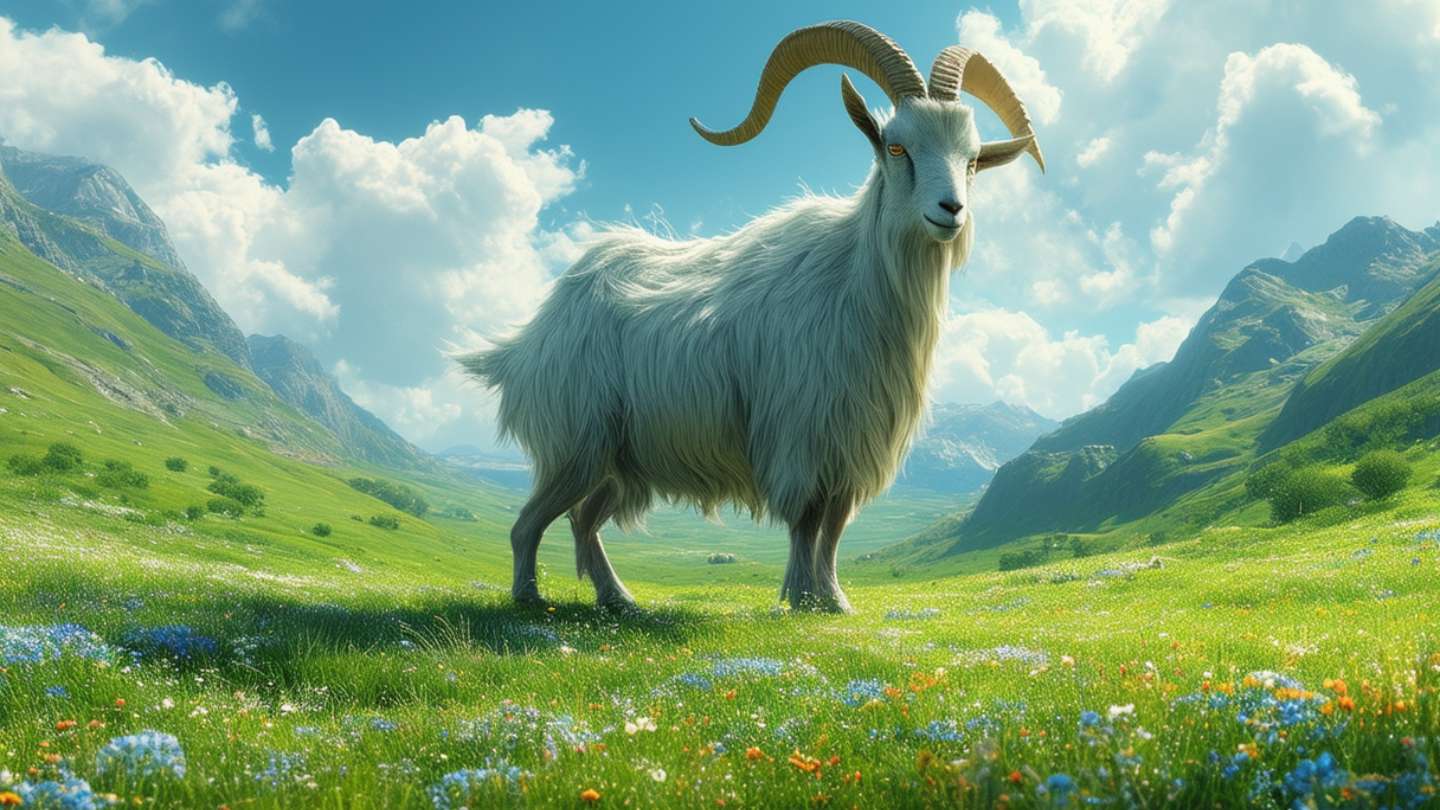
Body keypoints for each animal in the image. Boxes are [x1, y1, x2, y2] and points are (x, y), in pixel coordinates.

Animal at [462, 20, 1045, 612]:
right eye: (896, 145)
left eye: (971, 159)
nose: (952, 211)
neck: (853, 278)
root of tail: (527, 340)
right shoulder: (802, 435)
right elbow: (806, 521)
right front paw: (803, 596)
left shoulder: (848, 446)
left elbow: (834, 527)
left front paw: (834, 599)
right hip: (576, 444)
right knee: (528, 524)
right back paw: (528, 598)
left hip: (619, 461)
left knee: (582, 523)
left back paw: (618, 599)